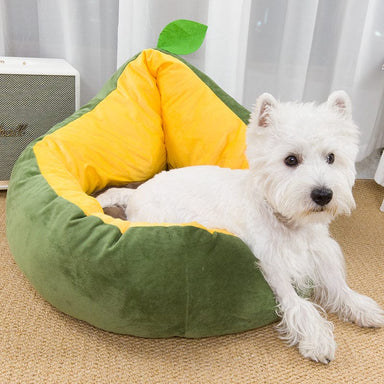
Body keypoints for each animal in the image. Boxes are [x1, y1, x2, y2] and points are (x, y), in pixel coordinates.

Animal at [97, 91, 384, 362]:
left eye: (331, 157)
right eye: (291, 160)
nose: (323, 195)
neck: (290, 224)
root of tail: (137, 192)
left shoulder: (321, 253)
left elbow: (339, 287)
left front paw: (364, 309)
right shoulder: (275, 266)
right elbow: (298, 304)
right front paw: (318, 341)